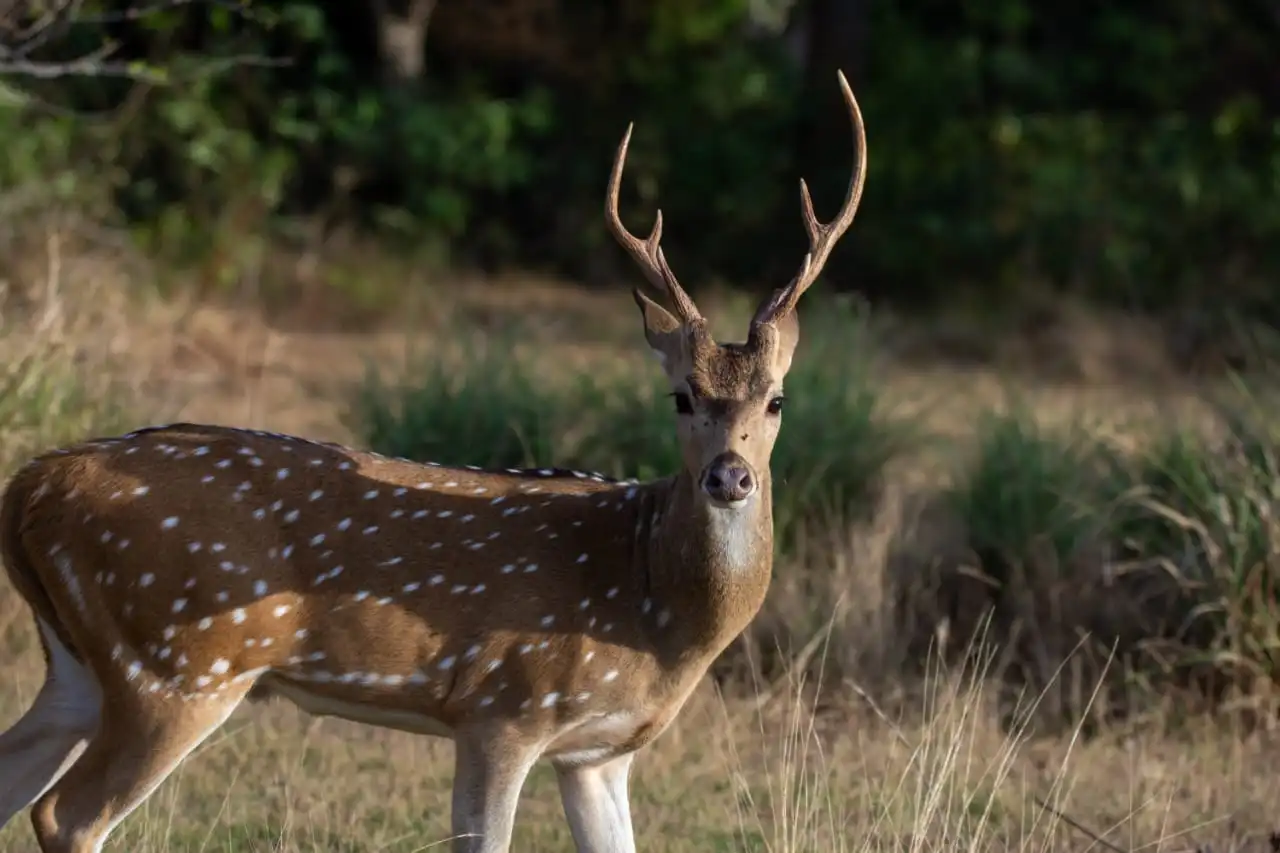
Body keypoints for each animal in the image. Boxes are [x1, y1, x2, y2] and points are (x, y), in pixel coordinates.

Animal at [0, 71, 866, 853]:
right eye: (681, 396)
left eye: (777, 399)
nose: (729, 476)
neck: (651, 599)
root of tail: (31, 484)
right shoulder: (501, 704)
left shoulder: (596, 752)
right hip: (181, 659)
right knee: (66, 814)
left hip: (83, 661)